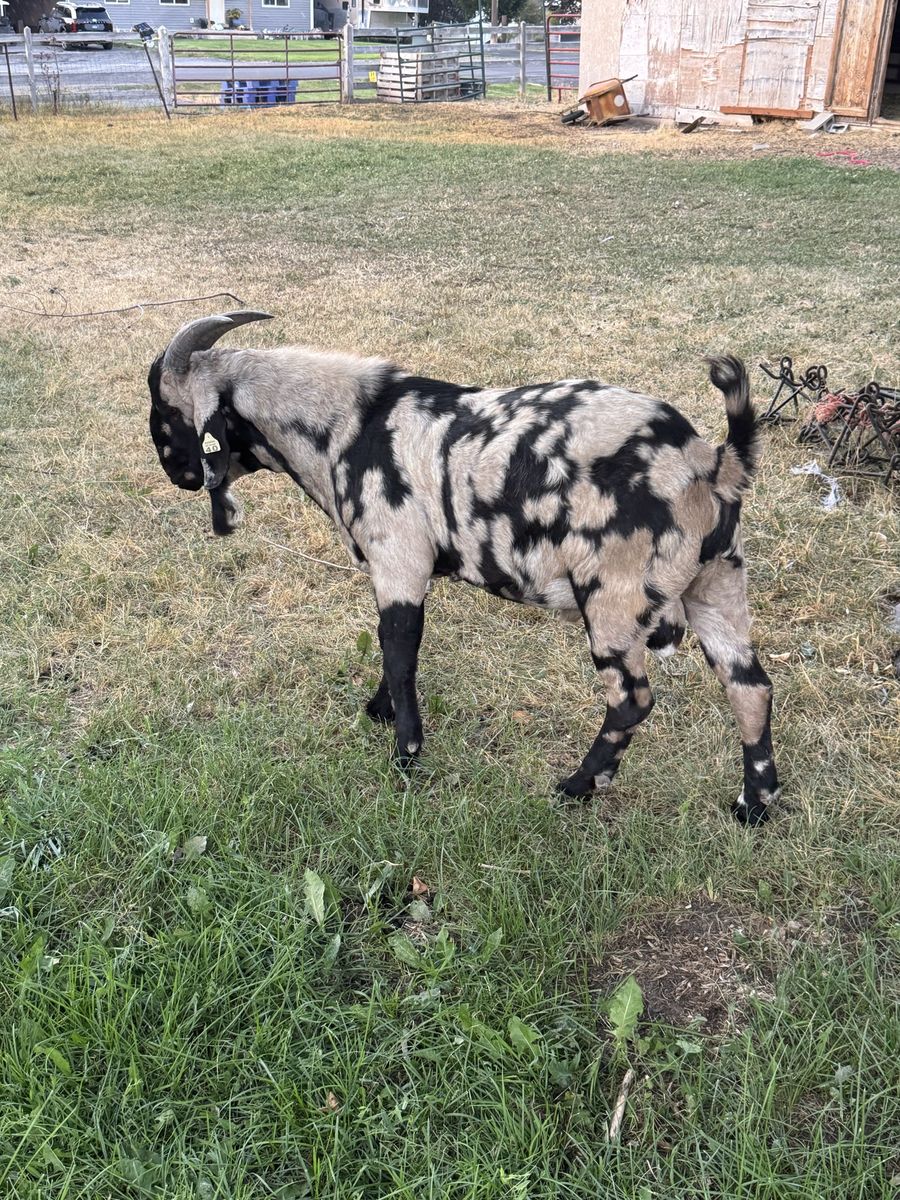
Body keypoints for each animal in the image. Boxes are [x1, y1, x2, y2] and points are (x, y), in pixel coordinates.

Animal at [148, 311, 779, 825]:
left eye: (165, 413)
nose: (177, 473)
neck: (349, 423)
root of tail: (713, 461)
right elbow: (392, 644)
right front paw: (379, 713)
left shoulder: (398, 559)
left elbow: (400, 653)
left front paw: (404, 754)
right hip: (718, 582)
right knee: (750, 686)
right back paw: (753, 804)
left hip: (613, 600)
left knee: (632, 701)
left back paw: (576, 787)